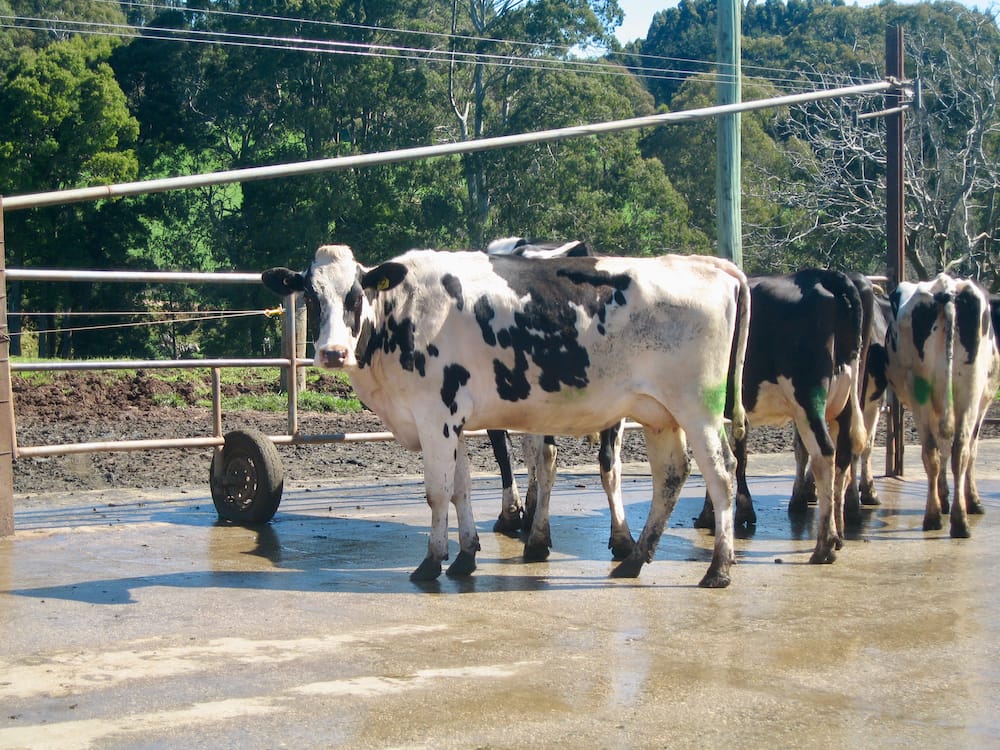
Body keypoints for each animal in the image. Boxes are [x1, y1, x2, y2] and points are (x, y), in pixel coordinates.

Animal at [262, 245, 748, 588]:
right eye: (311, 296)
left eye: (356, 293)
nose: (332, 352)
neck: (400, 316)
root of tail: (710, 264)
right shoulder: (452, 421)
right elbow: (460, 489)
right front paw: (465, 555)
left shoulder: (434, 416)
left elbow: (437, 493)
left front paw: (431, 562)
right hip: (660, 414)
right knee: (671, 475)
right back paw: (632, 560)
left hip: (698, 408)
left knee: (722, 473)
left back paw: (718, 570)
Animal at [884, 274, 1000, 536]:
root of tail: (947, 288)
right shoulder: (984, 403)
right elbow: (968, 451)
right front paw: (969, 500)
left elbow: (947, 449)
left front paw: (947, 496)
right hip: (957, 394)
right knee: (951, 451)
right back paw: (941, 517)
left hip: (947, 394)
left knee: (947, 451)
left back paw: (953, 518)